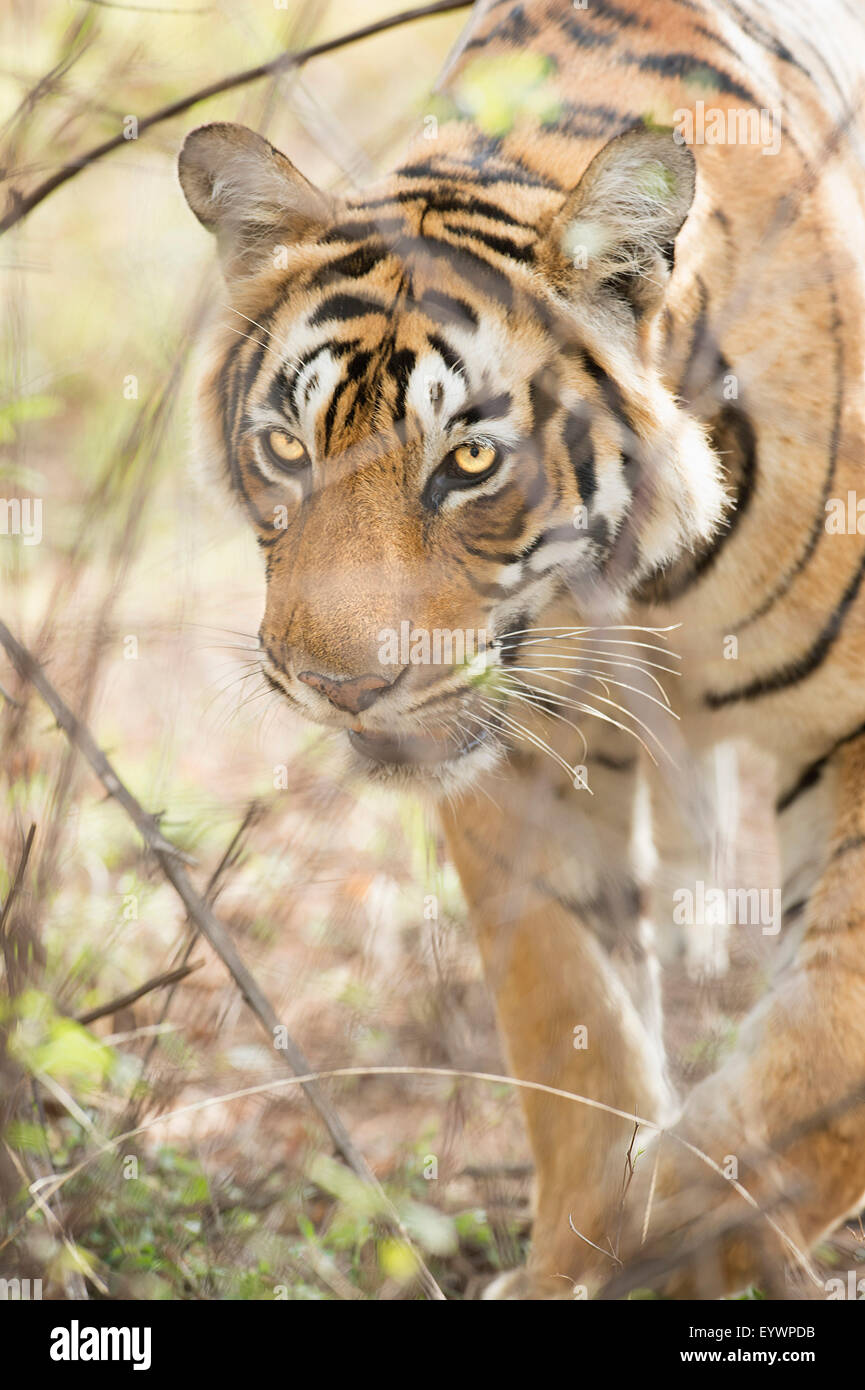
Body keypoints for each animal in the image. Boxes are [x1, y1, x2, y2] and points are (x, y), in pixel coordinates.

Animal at [179, 0, 865, 1295]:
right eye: (287, 447)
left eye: (469, 462)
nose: (336, 686)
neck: (639, 587)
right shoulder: (523, 763)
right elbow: (570, 1031)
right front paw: (585, 1250)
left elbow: (823, 1047)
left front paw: (685, 1234)